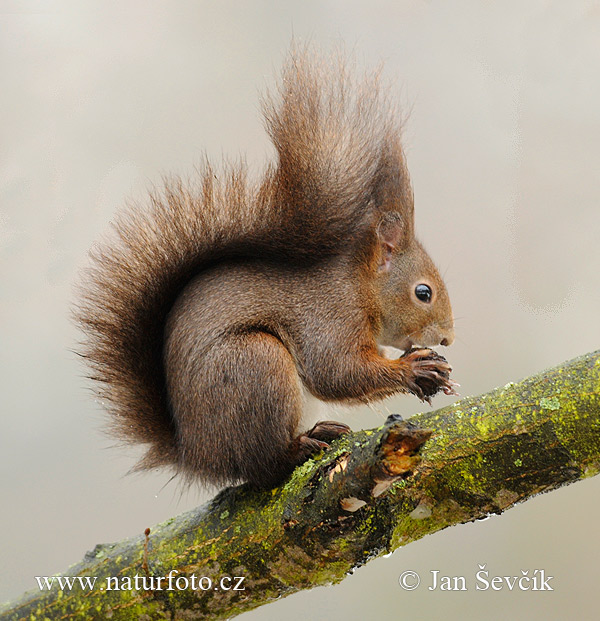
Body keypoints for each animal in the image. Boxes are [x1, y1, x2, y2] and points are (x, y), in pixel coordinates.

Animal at [77, 47, 458, 490]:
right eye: (423, 292)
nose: (448, 338)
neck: (360, 286)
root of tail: (196, 455)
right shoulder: (330, 316)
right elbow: (336, 373)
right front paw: (412, 369)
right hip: (256, 366)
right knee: (263, 465)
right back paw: (303, 445)